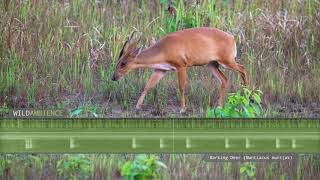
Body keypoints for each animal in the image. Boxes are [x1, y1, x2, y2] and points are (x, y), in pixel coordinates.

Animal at [111, 27, 249, 112]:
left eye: (123, 63)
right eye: (117, 61)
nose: (114, 77)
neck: (163, 49)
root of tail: (232, 38)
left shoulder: (181, 65)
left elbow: (181, 87)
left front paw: (182, 108)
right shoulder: (161, 70)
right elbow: (148, 86)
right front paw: (137, 106)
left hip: (227, 60)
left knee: (243, 69)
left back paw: (247, 97)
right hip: (212, 64)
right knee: (224, 79)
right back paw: (220, 106)